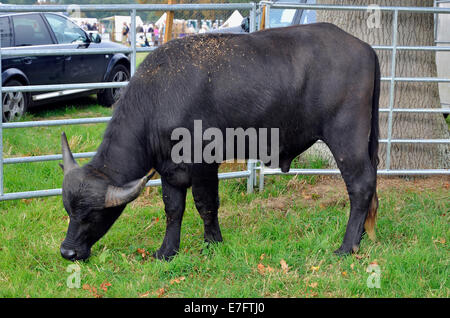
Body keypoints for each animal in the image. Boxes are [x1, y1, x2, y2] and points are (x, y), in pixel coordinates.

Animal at [58, 21, 378, 260]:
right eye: (68, 210)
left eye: (91, 215)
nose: (67, 252)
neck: (158, 98)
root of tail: (364, 47)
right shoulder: (169, 169)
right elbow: (173, 209)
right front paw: (166, 251)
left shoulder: (204, 162)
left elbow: (205, 203)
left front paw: (212, 242)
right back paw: (364, 236)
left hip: (346, 138)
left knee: (360, 186)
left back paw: (347, 246)